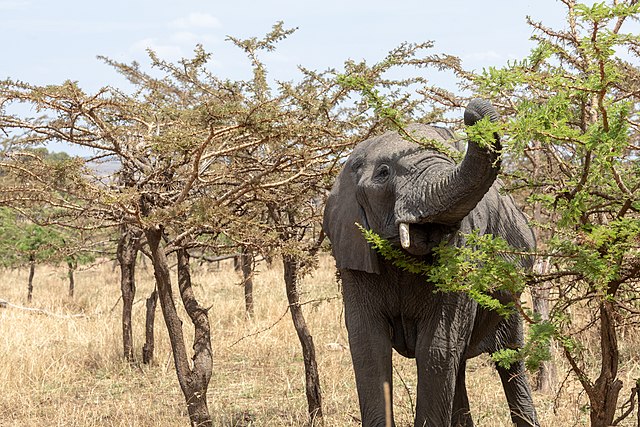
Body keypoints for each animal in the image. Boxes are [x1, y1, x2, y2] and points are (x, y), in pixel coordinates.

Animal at [322, 98, 536, 426]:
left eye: (450, 158)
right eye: (383, 173)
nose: (471, 110)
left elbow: (435, 349)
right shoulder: (354, 253)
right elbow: (370, 347)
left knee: (509, 361)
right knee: (460, 366)